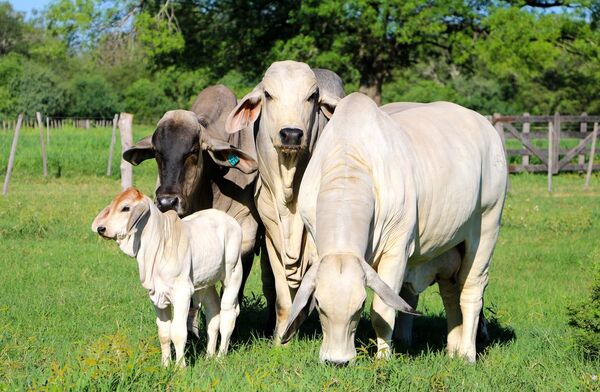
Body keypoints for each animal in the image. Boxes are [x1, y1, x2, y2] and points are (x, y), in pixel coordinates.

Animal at [282, 92, 506, 364]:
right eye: (320, 304)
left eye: (359, 307)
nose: (337, 361)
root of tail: (486, 127)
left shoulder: (396, 252)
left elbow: (382, 310)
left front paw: (383, 359)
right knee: (451, 293)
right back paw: (452, 349)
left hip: (487, 226)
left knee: (471, 290)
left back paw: (466, 353)